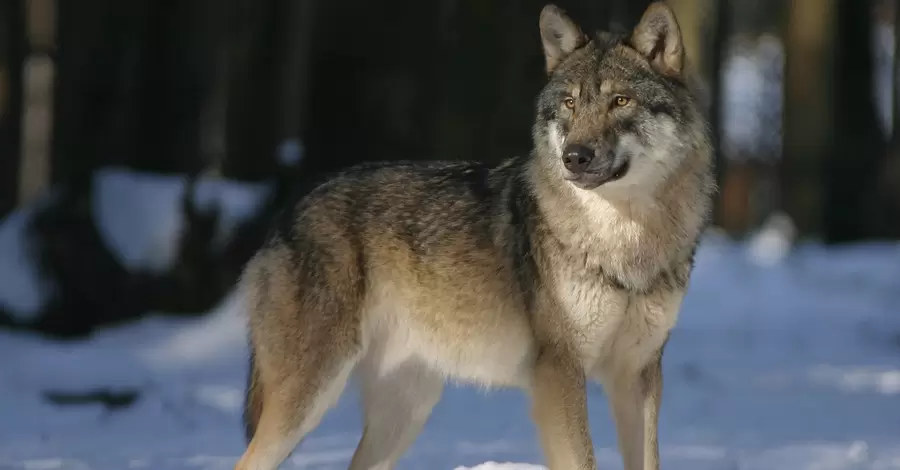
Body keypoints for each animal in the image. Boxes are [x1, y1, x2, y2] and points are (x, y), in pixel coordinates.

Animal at [236, 1, 712, 468]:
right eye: (570, 104)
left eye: (620, 100)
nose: (574, 156)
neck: (625, 240)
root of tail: (289, 211)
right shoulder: (559, 373)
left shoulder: (639, 376)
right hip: (309, 399)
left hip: (406, 410)